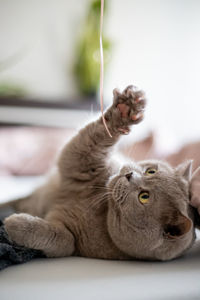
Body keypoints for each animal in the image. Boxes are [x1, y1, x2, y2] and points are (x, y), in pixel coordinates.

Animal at [1, 85, 200, 260]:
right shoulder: (84, 160)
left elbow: (62, 239)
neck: (101, 209)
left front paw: (14, 224)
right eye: (150, 171)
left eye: (144, 197)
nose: (129, 175)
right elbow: (92, 138)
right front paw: (125, 109)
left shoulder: (72, 239)